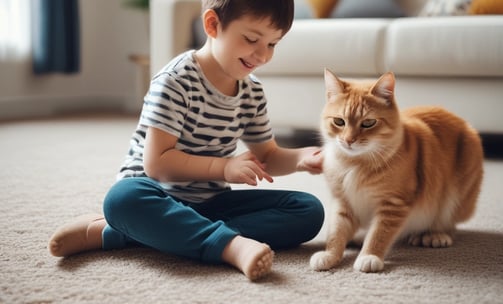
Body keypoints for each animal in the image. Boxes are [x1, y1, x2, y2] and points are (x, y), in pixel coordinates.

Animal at [312, 69, 484, 274]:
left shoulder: (393, 205)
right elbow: (336, 233)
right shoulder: (343, 202)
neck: (354, 164)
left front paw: (369, 256)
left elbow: (378, 234)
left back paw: (435, 234)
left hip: (457, 196)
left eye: (368, 123)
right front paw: (330, 255)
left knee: (448, 223)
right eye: (339, 121)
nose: (348, 140)